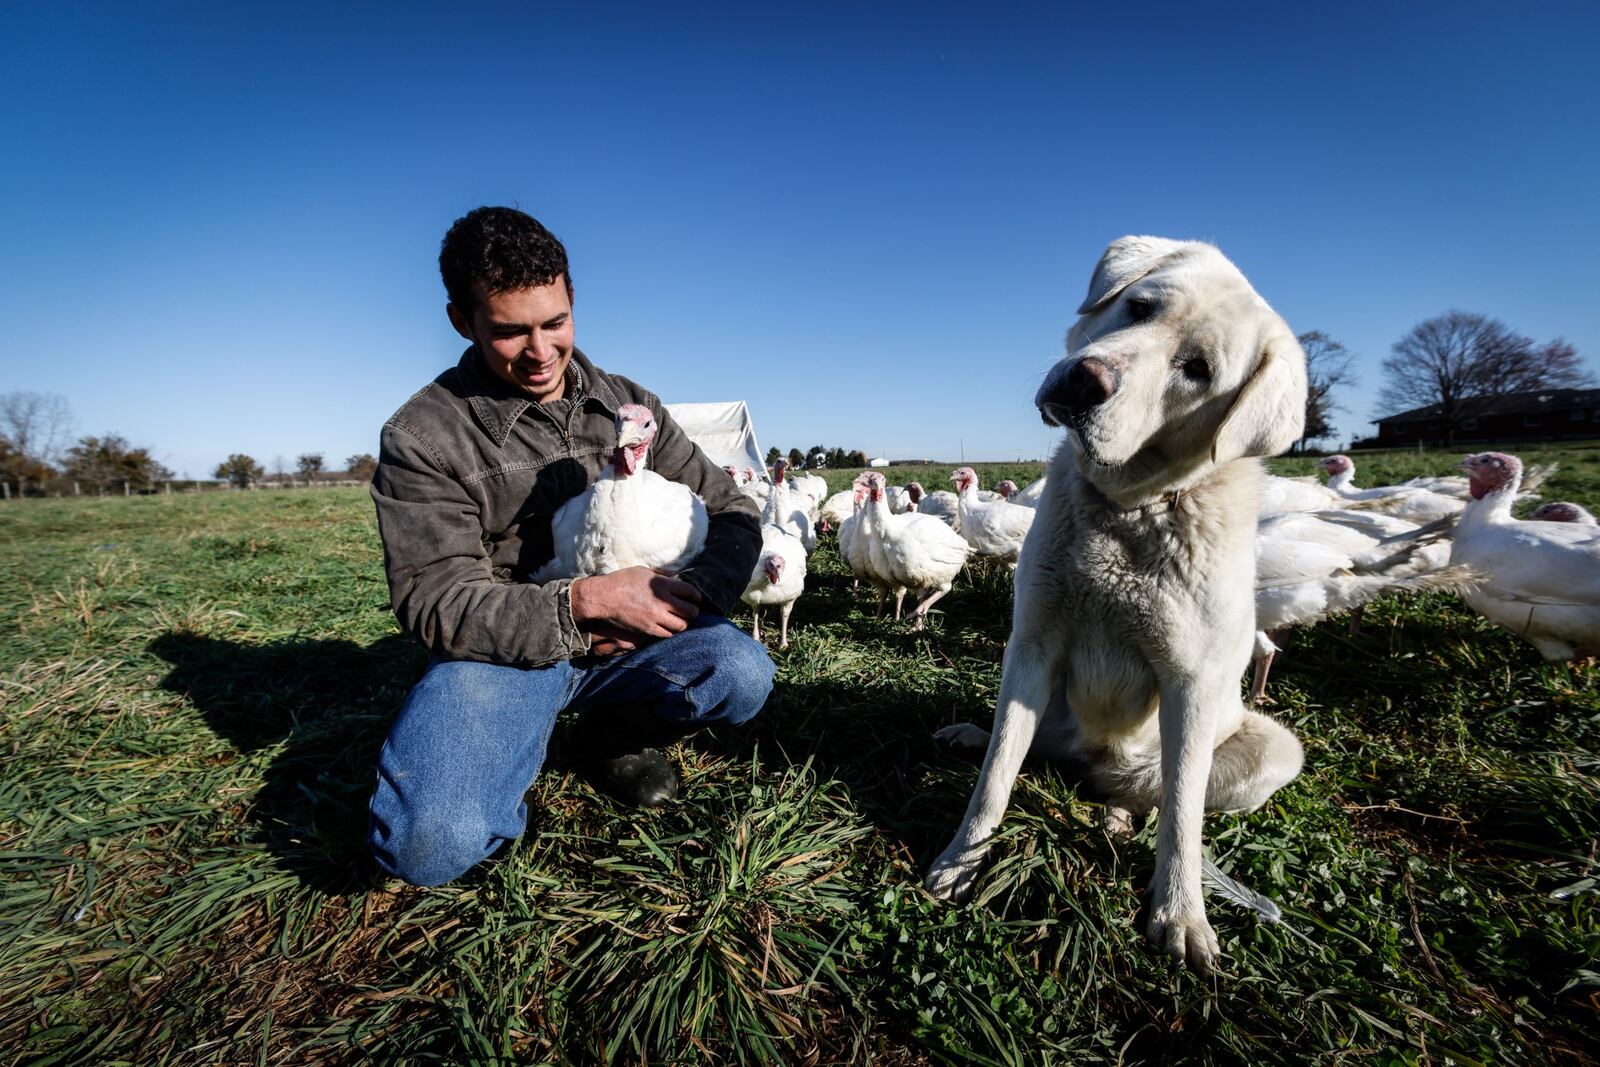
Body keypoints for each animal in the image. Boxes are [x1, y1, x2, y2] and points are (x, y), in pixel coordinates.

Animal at [928, 238, 1312, 972]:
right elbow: (997, 776)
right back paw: (974, 736)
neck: (1127, 509)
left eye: (1199, 370)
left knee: (1157, 796)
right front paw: (962, 859)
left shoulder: (1189, 683)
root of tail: (1092, 764)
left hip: (1272, 751)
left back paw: (1118, 817)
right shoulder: (1033, 645)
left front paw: (1180, 914)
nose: (1087, 381)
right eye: (1139, 306)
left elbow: (1184, 818)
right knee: (1021, 748)